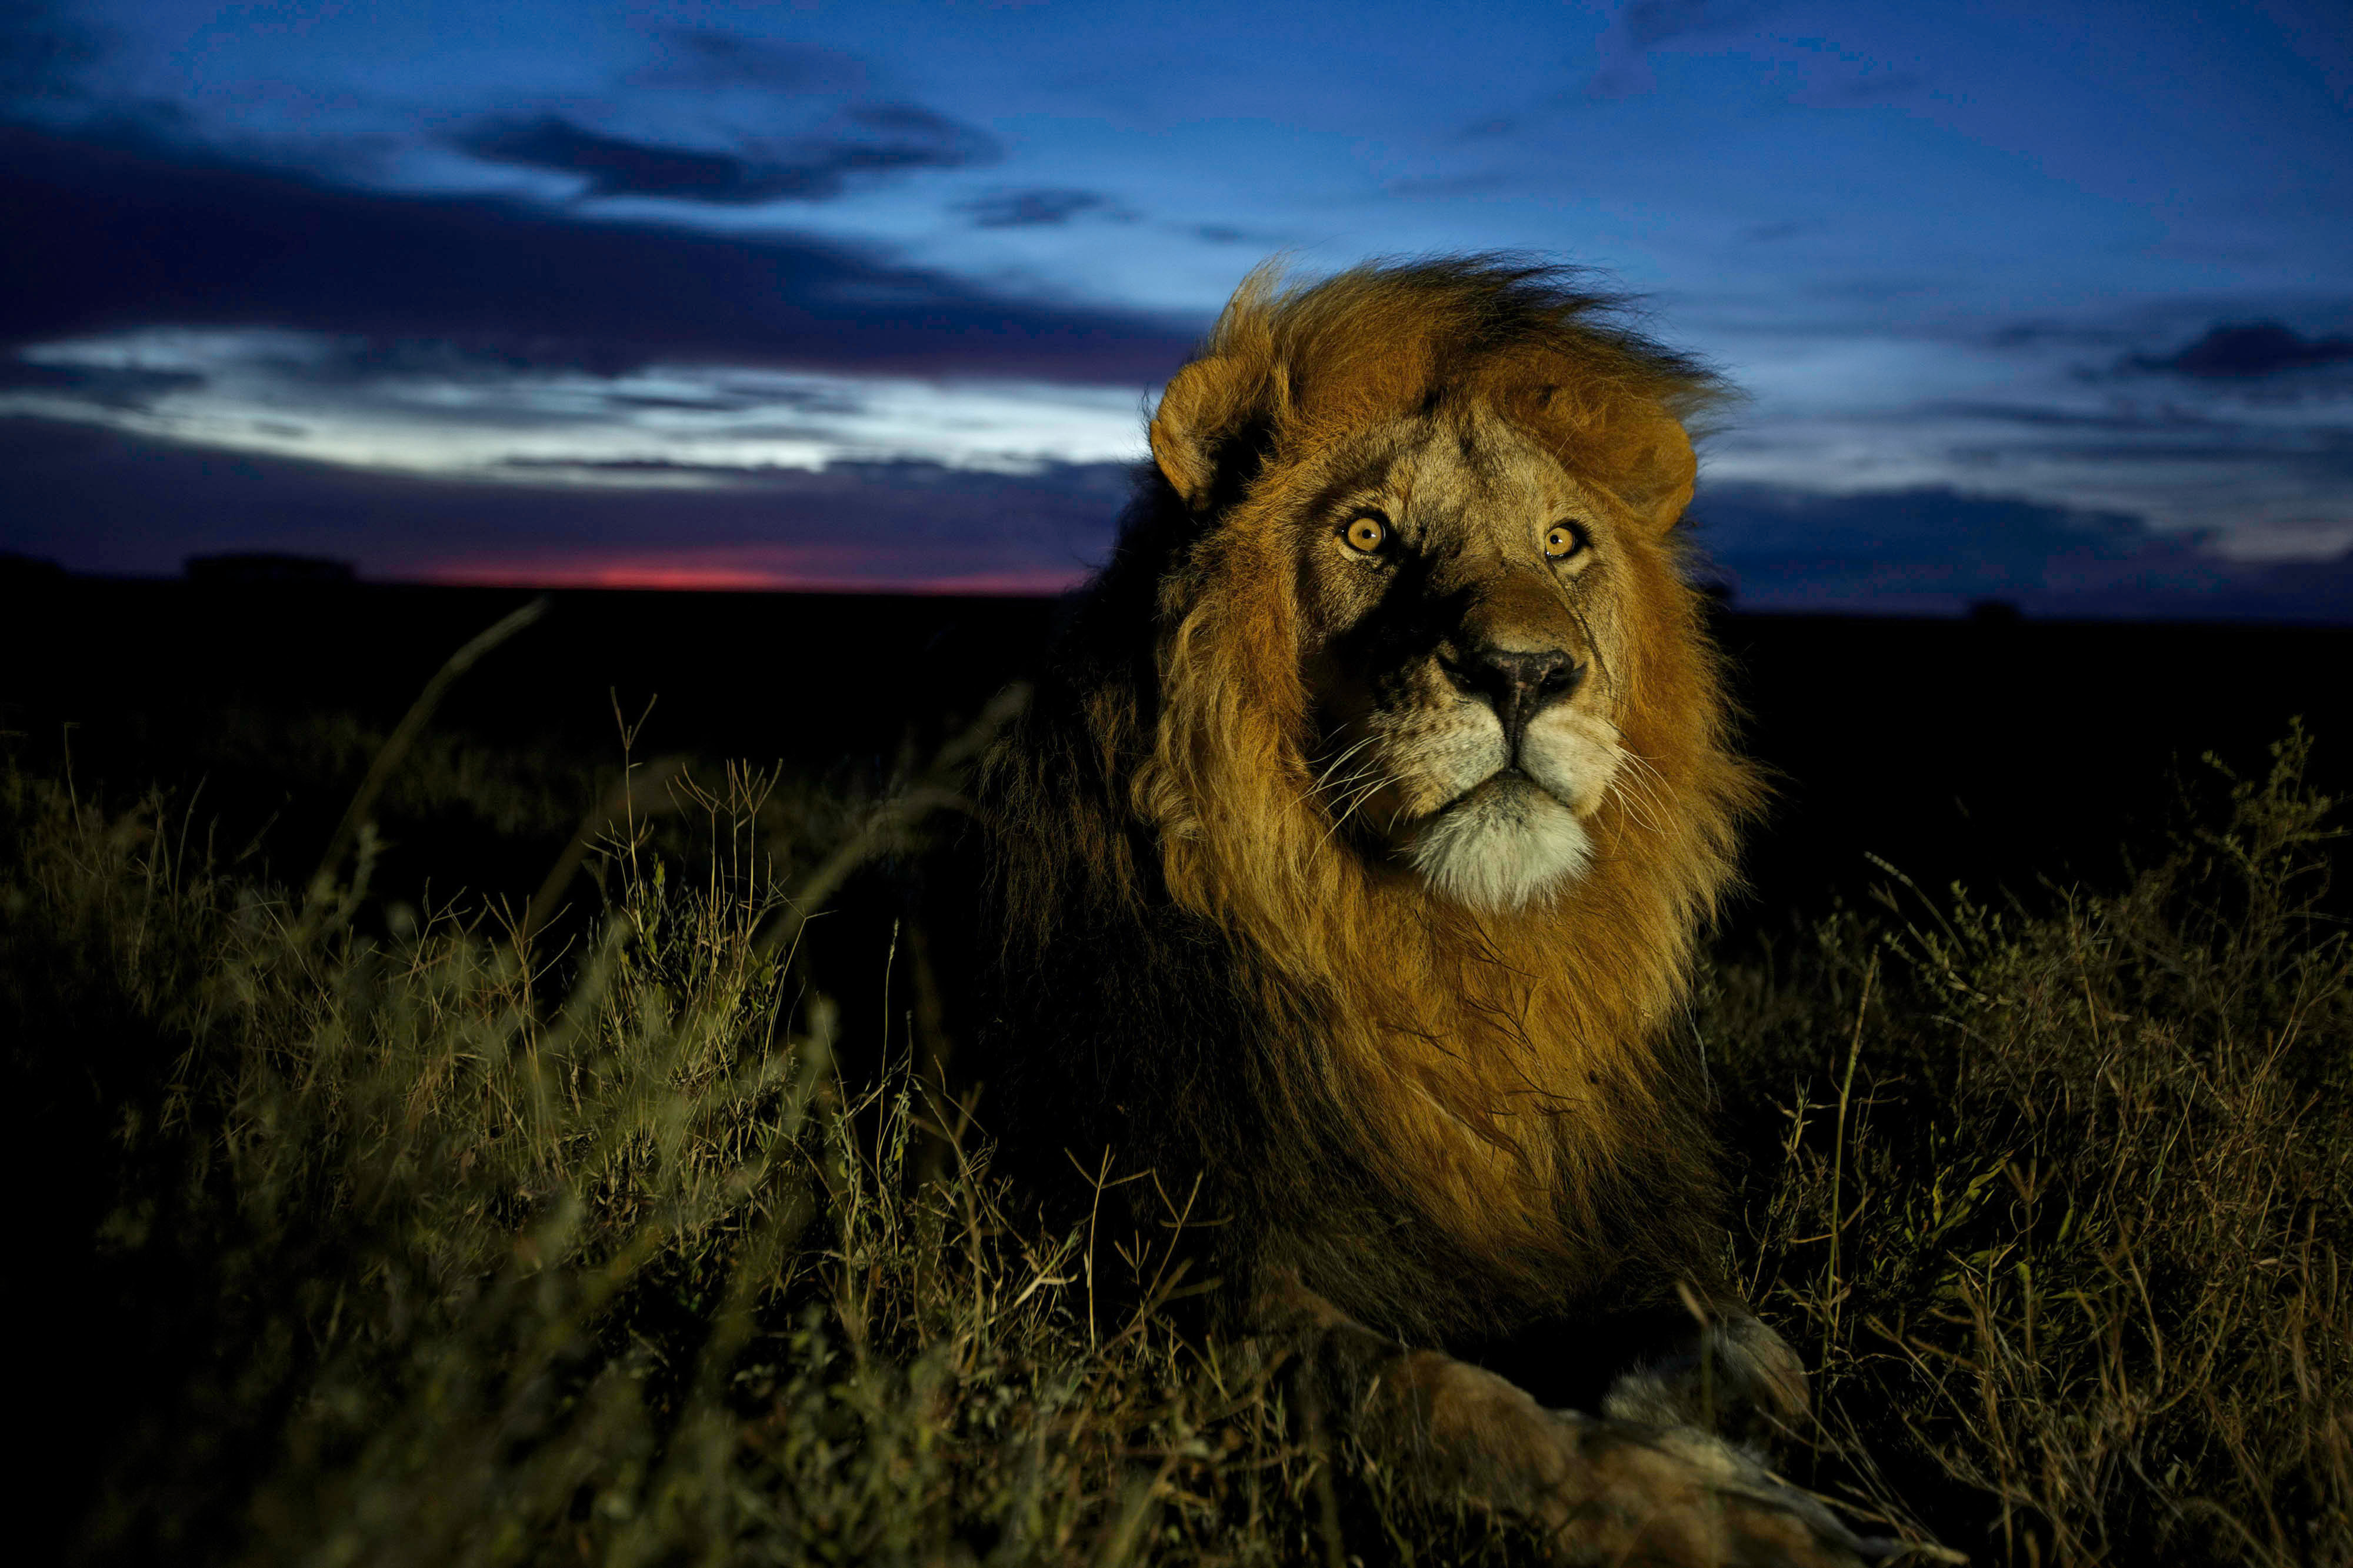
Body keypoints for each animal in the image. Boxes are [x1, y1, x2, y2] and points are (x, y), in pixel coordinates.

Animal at [974, 262, 1892, 1553]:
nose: (1524, 673)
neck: (1449, 970)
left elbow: (1771, 1351)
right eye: (1368, 533)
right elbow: (1441, 1401)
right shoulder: (1175, 1267)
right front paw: (1732, 1519)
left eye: (1564, 543)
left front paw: (1702, 1417)